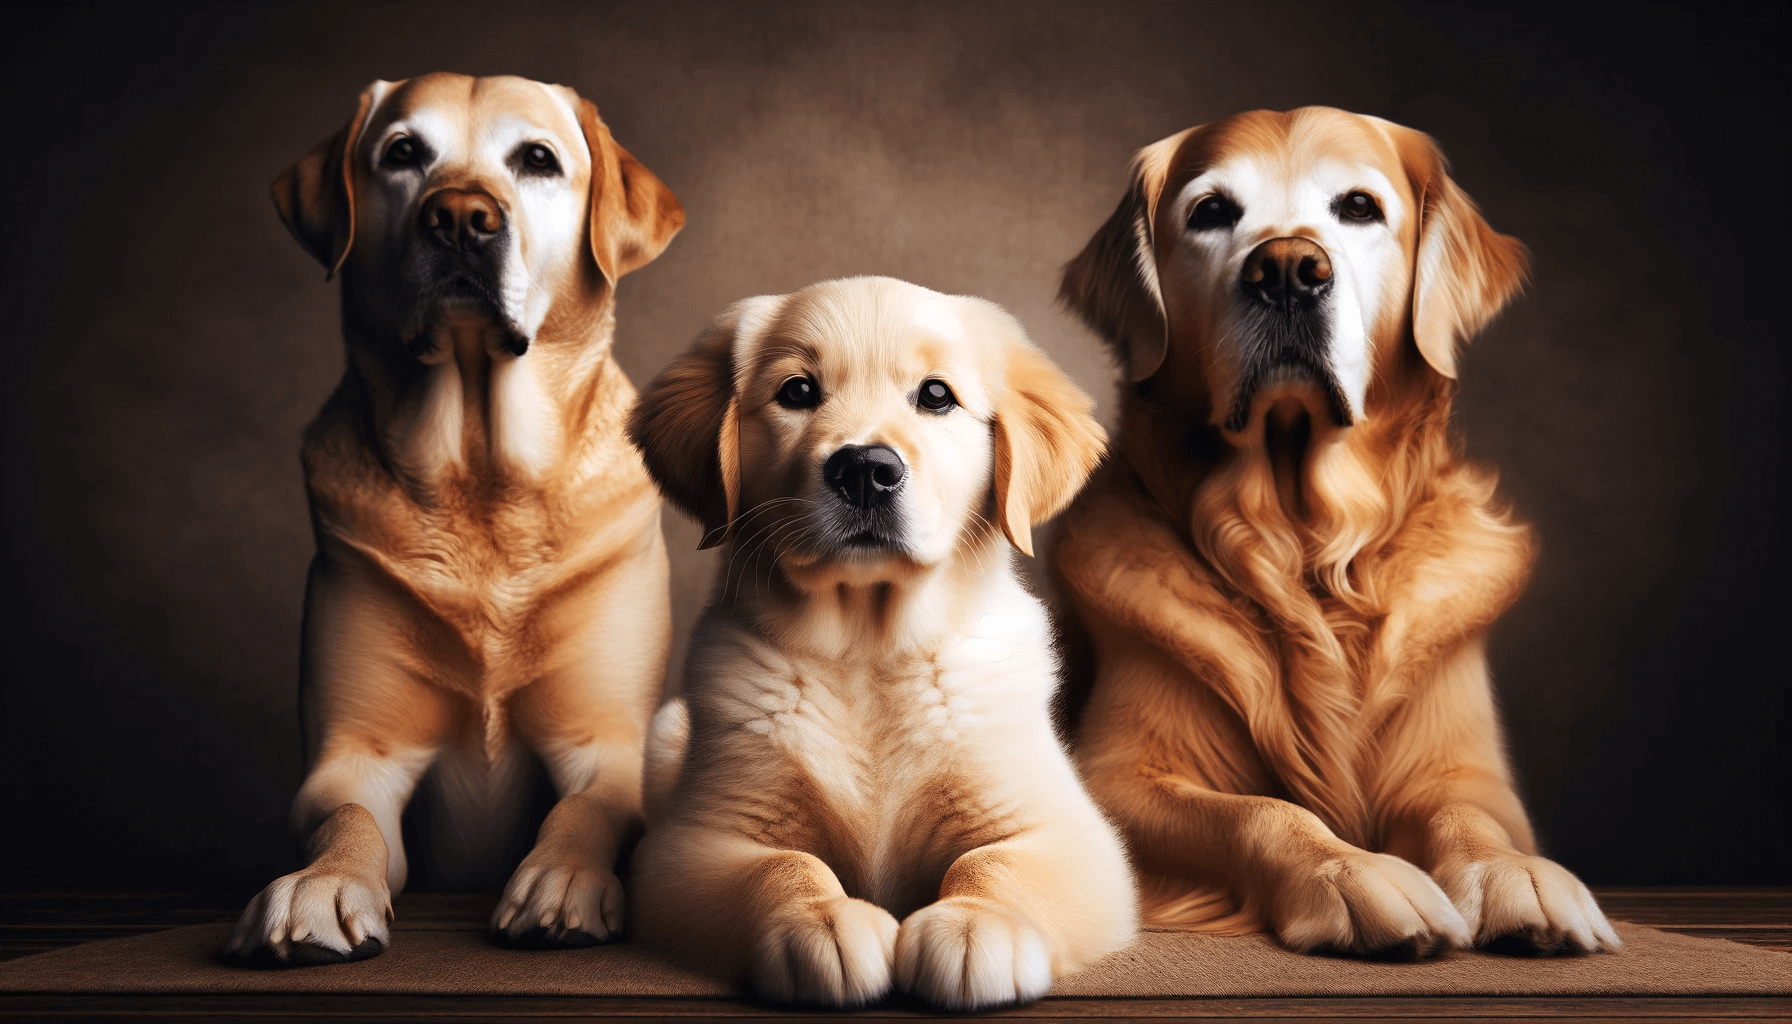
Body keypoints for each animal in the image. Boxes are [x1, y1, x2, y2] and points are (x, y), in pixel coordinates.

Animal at [229, 76, 684, 968]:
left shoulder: (609, 743)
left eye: (537, 160)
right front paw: (320, 885)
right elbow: (348, 817)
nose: (462, 218)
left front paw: (564, 879)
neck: (481, 477)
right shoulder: (355, 755)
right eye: (403, 152)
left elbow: (588, 809)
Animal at [627, 277, 1132, 1011]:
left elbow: (992, 860)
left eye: (936, 396)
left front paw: (974, 926)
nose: (866, 470)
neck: (867, 649)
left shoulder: (1073, 837)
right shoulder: (693, 845)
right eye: (798, 392)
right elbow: (785, 865)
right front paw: (823, 923)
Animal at [1046, 108, 1627, 961]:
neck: (1306, 550)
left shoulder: (1469, 771)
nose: (1287, 270)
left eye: (1359, 207)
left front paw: (1515, 875)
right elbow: (1260, 811)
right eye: (1211, 211)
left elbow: (1469, 815)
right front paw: (1351, 874)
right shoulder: (1115, 776)